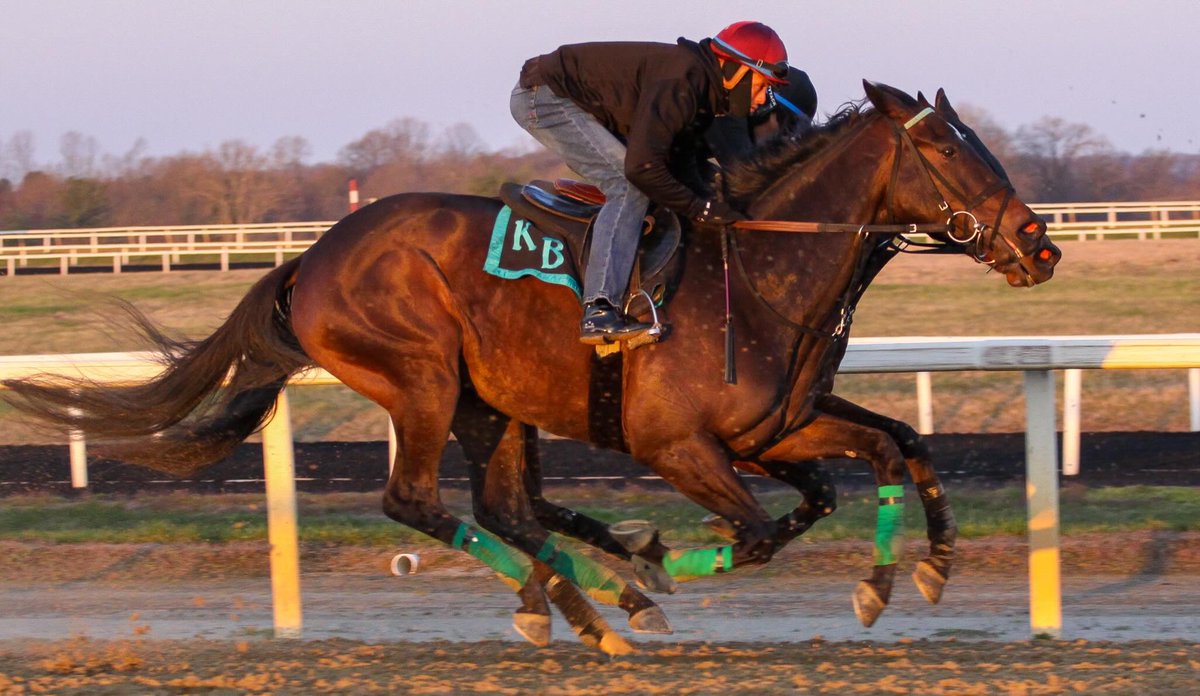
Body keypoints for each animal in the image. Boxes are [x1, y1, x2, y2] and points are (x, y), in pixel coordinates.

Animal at [7, 81, 1060, 652]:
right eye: (953, 152)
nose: (1039, 245)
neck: (759, 267)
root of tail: (312, 257)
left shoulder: (781, 426)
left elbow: (893, 447)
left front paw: (914, 576)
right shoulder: (680, 446)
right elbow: (763, 529)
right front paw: (665, 565)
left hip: (492, 401)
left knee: (504, 506)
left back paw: (584, 602)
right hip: (423, 379)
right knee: (420, 501)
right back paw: (600, 603)